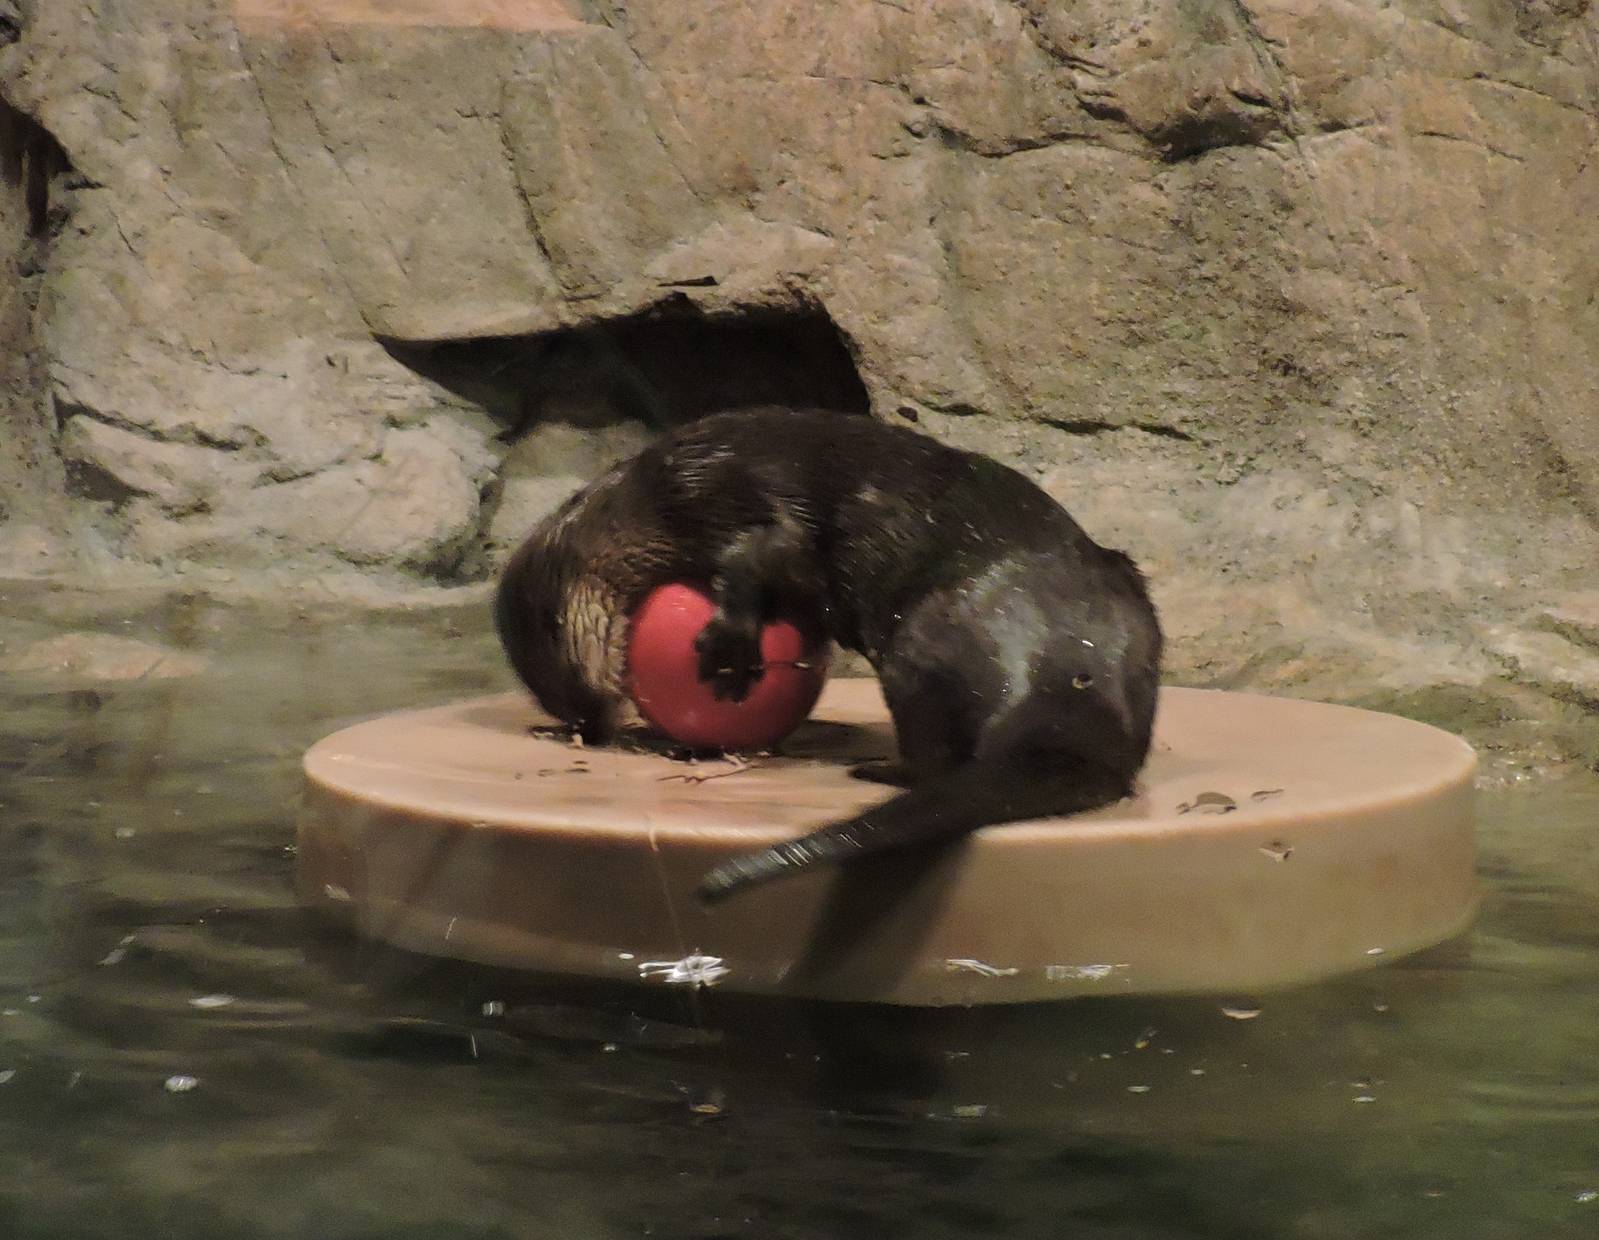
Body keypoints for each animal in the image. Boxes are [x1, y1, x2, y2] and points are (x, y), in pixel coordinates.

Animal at [494, 407, 1162, 903]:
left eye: (571, 681)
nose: (588, 726)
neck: (646, 507)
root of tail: (1070, 668)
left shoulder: (721, 498)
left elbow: (765, 551)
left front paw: (730, 647)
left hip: (919, 644)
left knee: (934, 752)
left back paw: (877, 768)